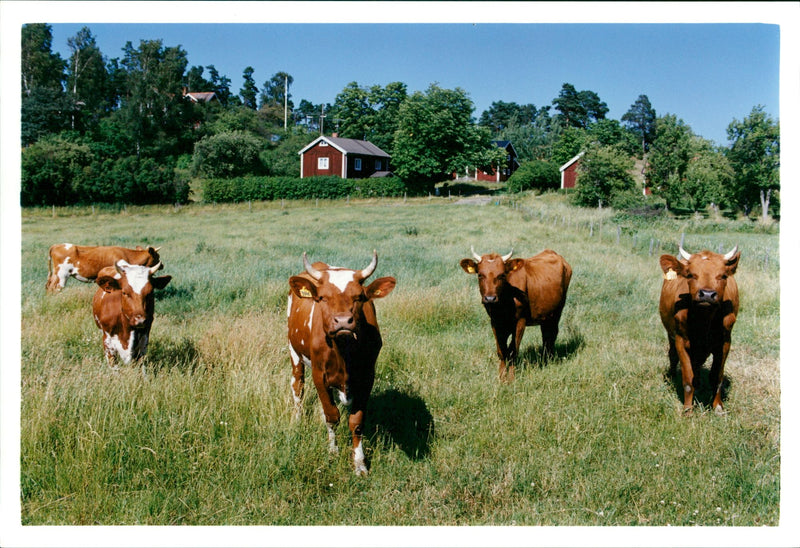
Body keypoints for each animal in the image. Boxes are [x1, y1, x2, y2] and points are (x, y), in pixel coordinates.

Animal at [290, 252, 396, 476]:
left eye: (359, 297)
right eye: (323, 297)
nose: (342, 321)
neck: (344, 351)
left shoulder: (367, 377)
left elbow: (356, 421)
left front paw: (360, 464)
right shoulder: (319, 376)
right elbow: (331, 416)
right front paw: (333, 452)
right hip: (294, 352)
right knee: (297, 386)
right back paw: (296, 419)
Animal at [460, 248, 572, 382]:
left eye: (502, 275)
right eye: (480, 275)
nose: (490, 298)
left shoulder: (520, 322)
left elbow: (513, 350)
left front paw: (511, 378)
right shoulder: (495, 322)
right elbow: (502, 350)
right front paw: (501, 377)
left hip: (557, 311)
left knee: (552, 334)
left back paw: (548, 359)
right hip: (546, 315)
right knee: (546, 334)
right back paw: (545, 358)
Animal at [660, 246, 740, 414]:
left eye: (723, 275)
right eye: (691, 274)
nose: (707, 294)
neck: (704, 322)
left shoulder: (725, 343)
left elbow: (717, 376)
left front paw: (718, 407)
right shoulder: (681, 341)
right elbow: (687, 378)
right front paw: (688, 409)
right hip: (671, 334)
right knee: (672, 356)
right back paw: (671, 377)